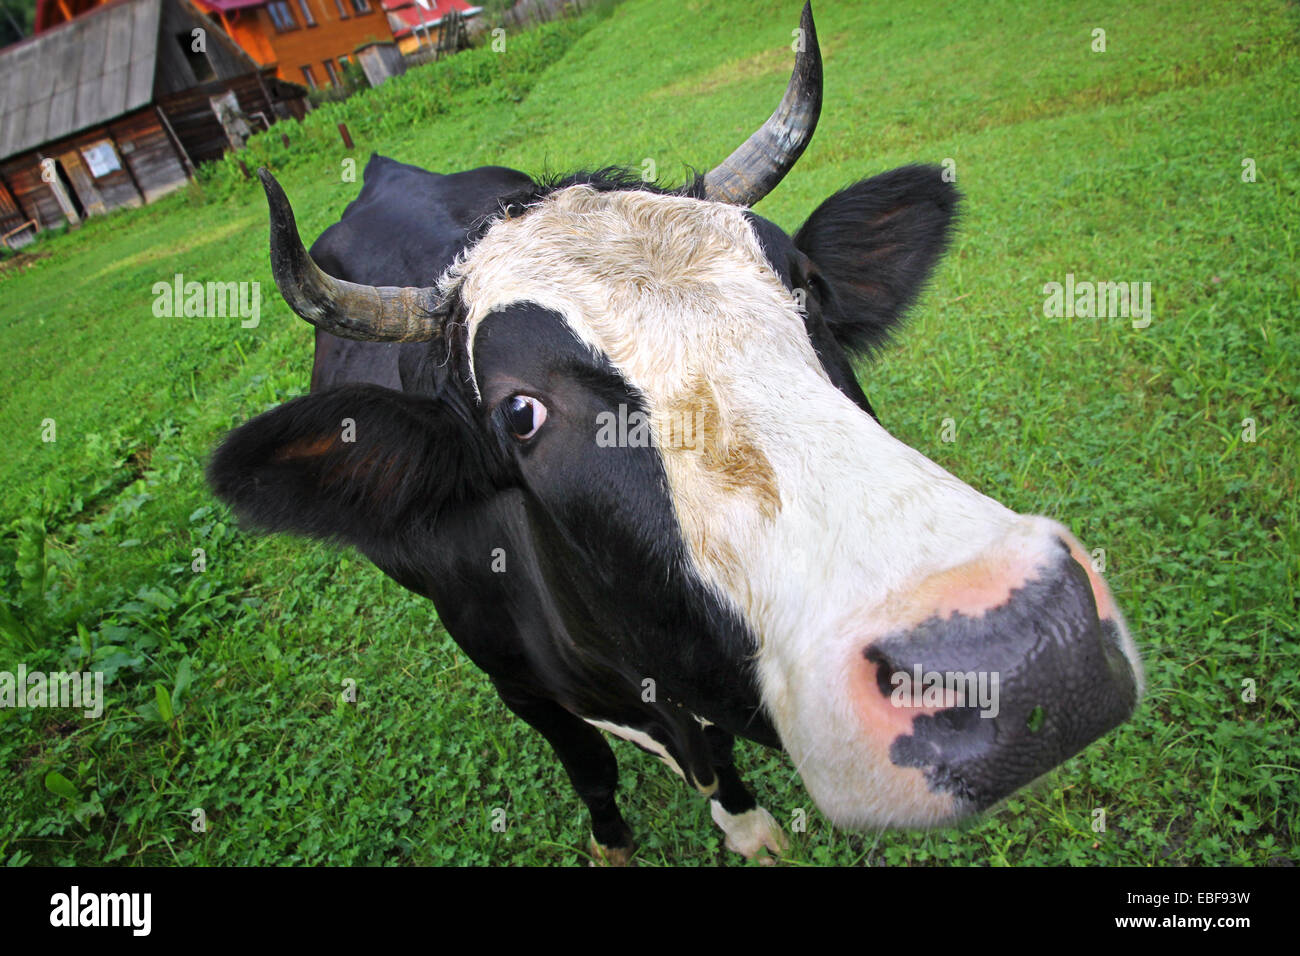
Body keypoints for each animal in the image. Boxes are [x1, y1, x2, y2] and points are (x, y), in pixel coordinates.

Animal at [208, 3, 1142, 864]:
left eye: (807, 284)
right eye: (520, 412)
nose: (1023, 648)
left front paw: (748, 824)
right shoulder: (514, 681)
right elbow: (592, 770)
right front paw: (617, 839)